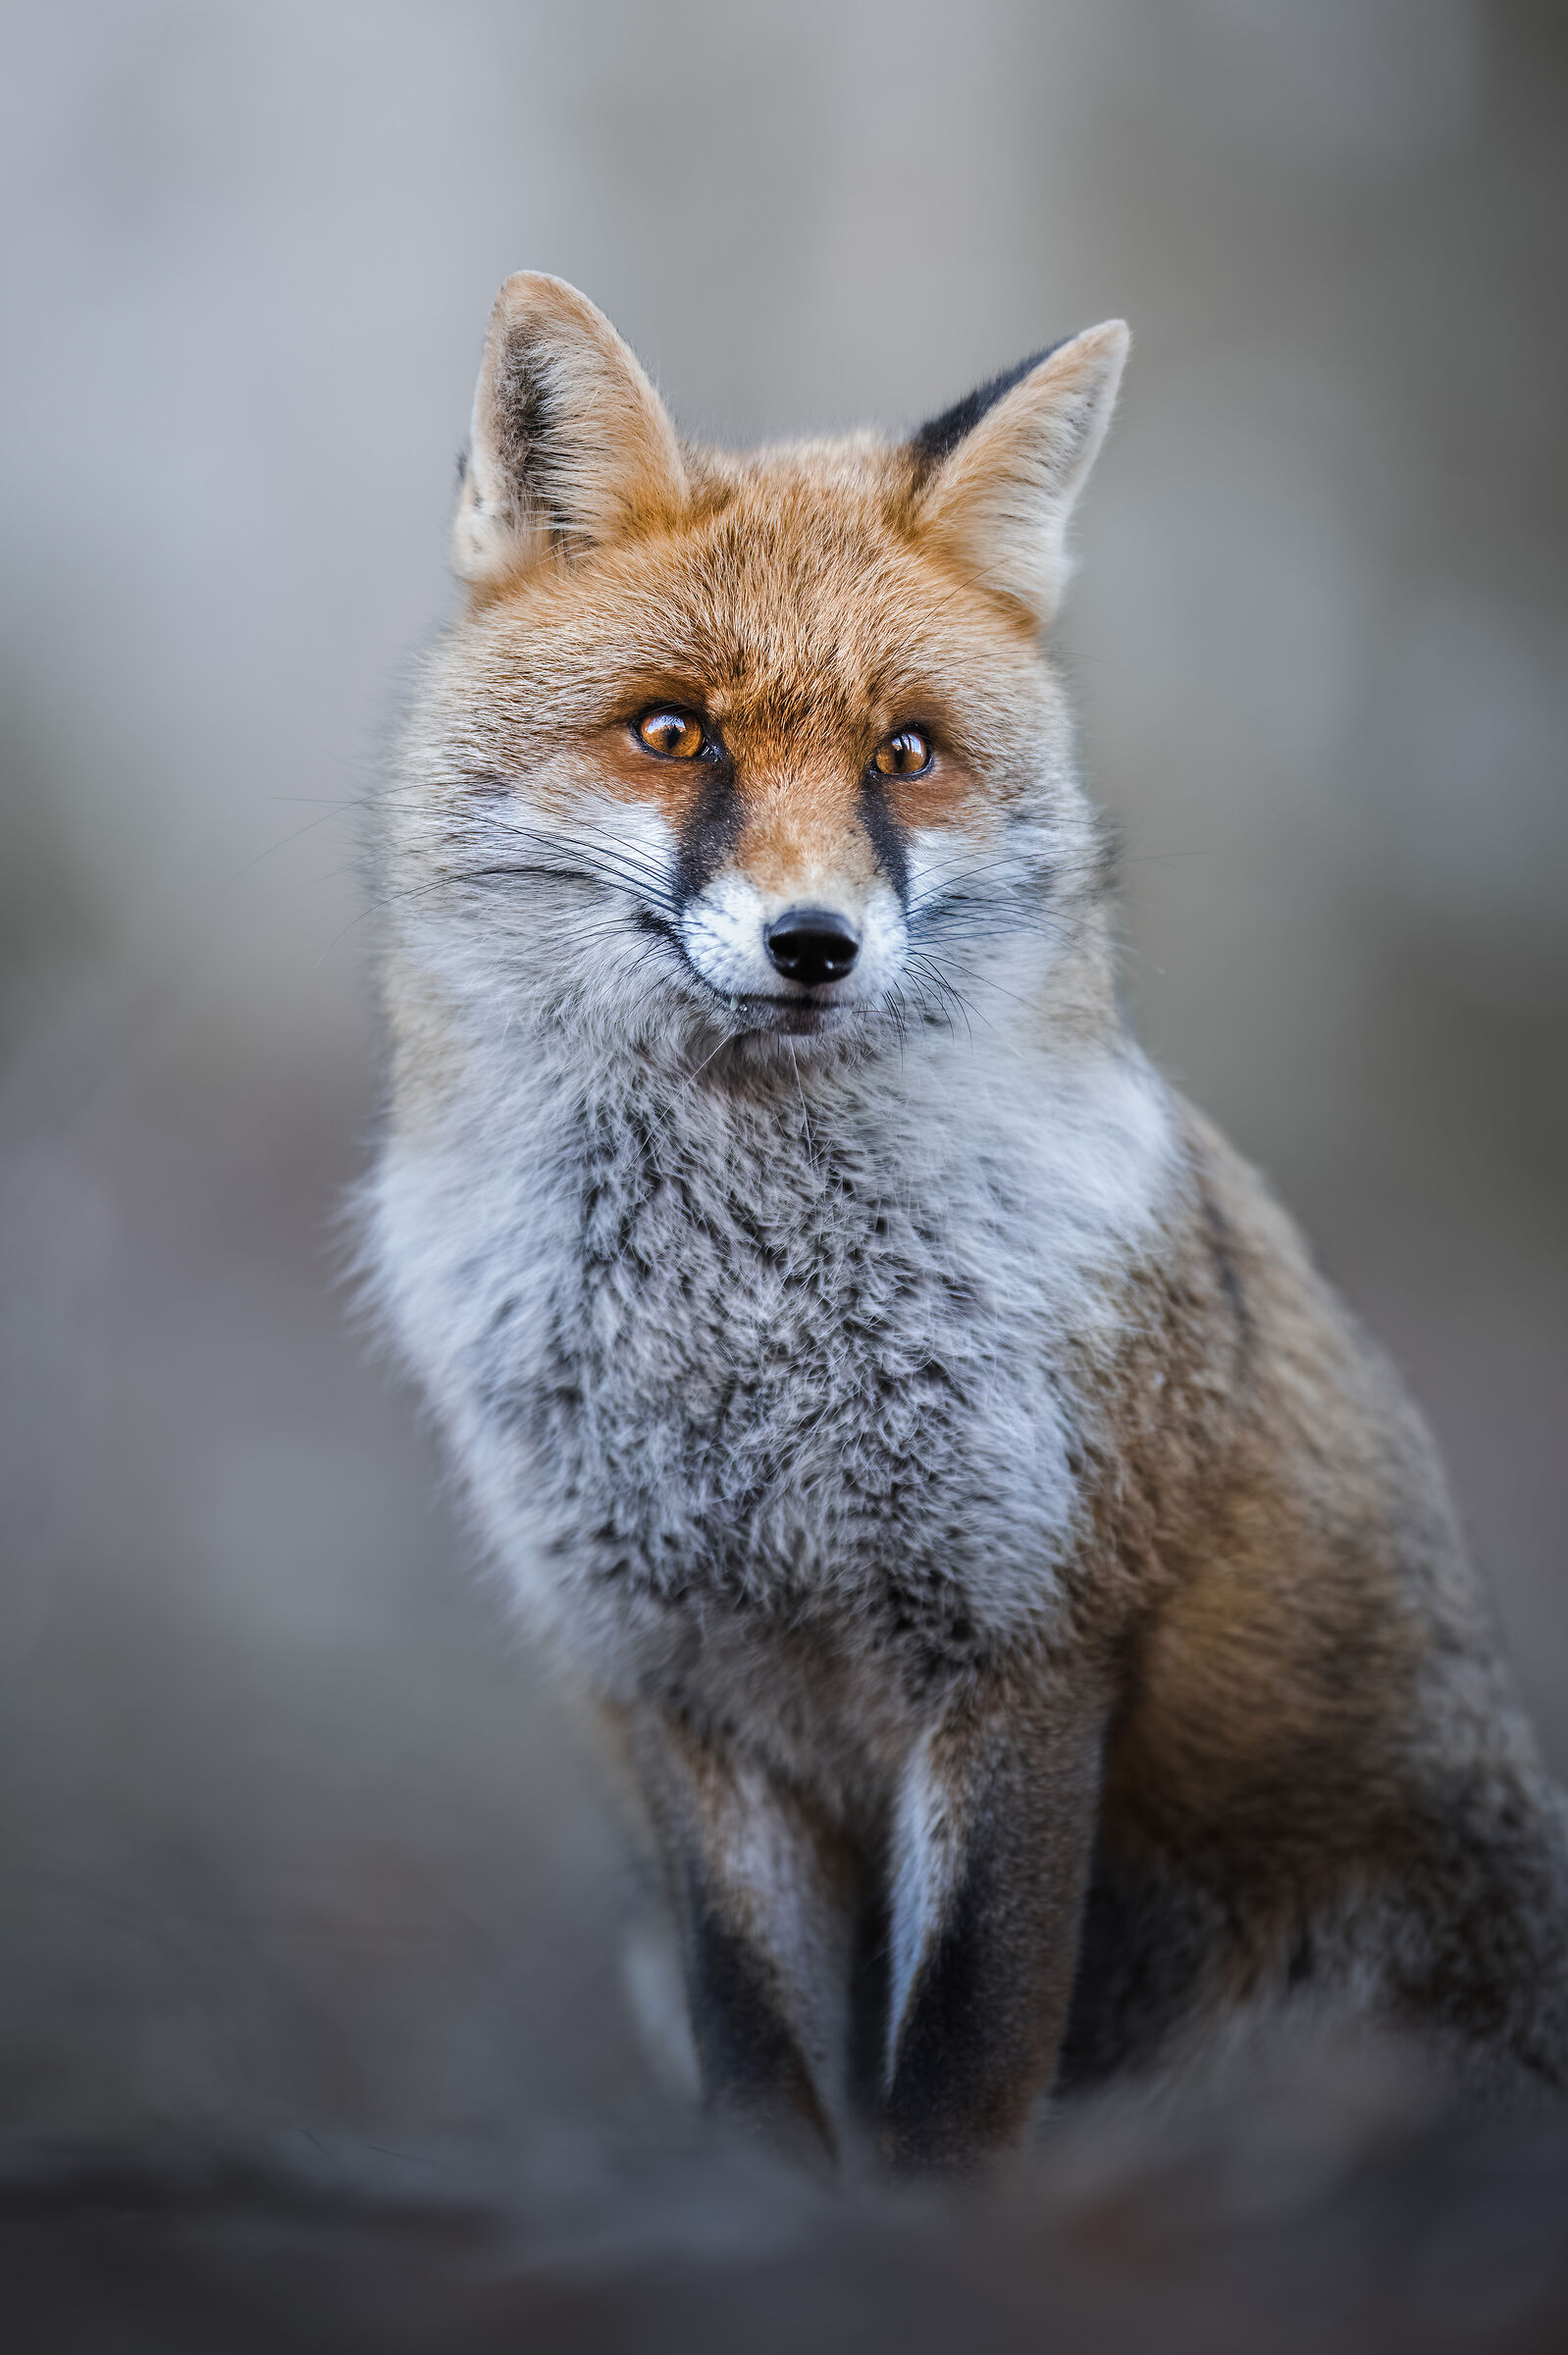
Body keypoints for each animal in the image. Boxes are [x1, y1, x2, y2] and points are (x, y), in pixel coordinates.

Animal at [365, 272, 1568, 2177]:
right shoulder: (674, 1685)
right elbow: (766, 2078)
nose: (812, 944)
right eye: (672, 731)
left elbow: (955, 2076)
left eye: (905, 756)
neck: (742, 1323)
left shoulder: (1019, 1649)